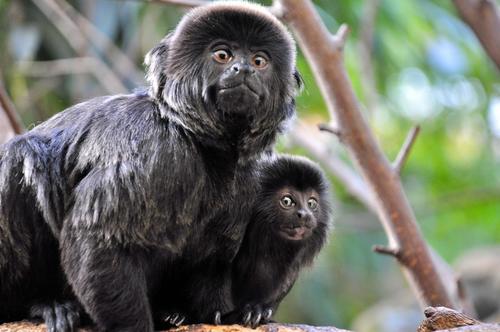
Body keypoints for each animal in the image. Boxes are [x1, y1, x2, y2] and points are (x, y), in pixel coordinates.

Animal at [0, 1, 298, 330]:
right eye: (223, 55)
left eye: (259, 61)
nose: (243, 69)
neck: (199, 144)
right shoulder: (152, 148)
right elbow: (97, 237)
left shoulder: (248, 180)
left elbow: (210, 261)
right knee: (20, 155)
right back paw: (42, 304)